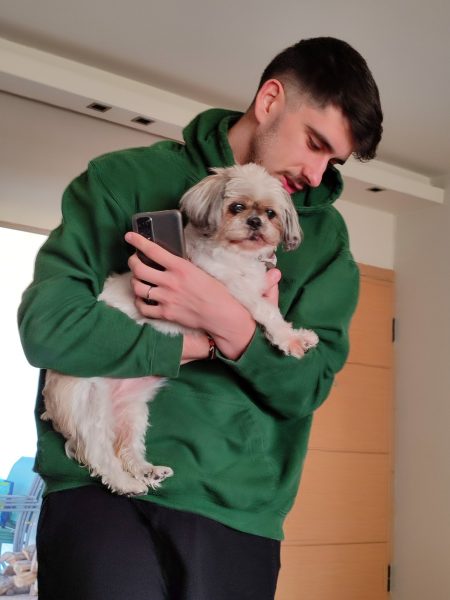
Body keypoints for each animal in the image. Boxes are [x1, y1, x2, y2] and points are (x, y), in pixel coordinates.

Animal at [42, 163, 319, 495]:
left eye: (270, 213)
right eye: (236, 207)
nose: (255, 222)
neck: (237, 256)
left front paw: (300, 336)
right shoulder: (233, 291)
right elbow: (268, 312)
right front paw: (291, 339)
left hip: (132, 412)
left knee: (127, 448)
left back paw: (147, 471)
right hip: (90, 407)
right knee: (100, 455)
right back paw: (126, 483)